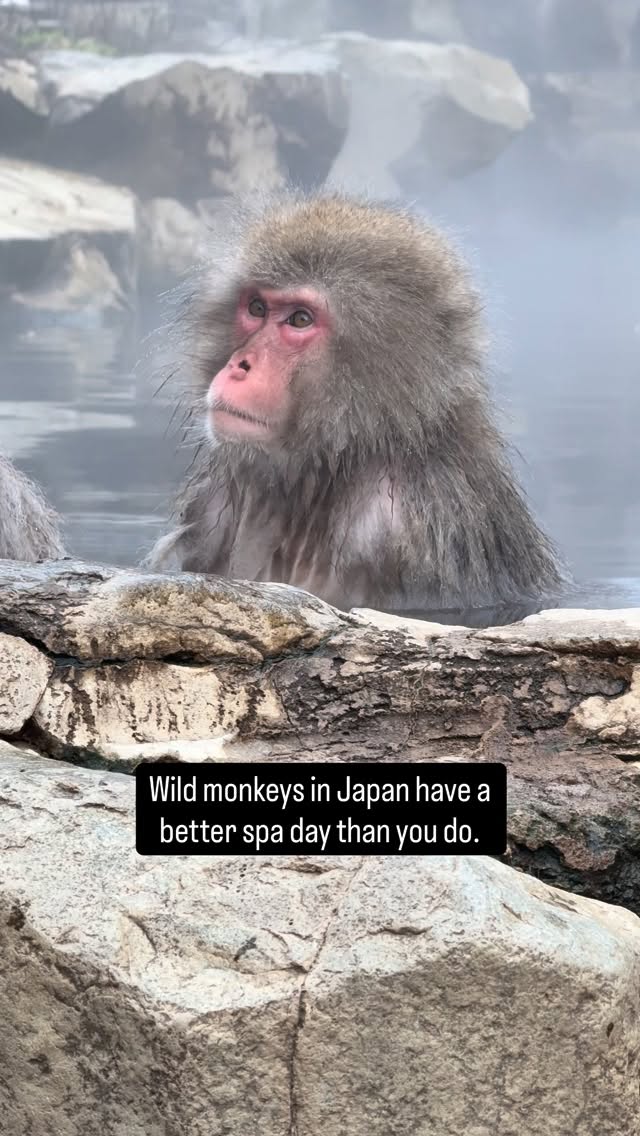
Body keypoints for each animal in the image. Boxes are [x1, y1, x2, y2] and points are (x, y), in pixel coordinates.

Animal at [149, 192, 563, 612]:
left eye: (300, 319)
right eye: (257, 308)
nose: (240, 365)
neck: (335, 466)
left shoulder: (401, 526)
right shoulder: (212, 504)